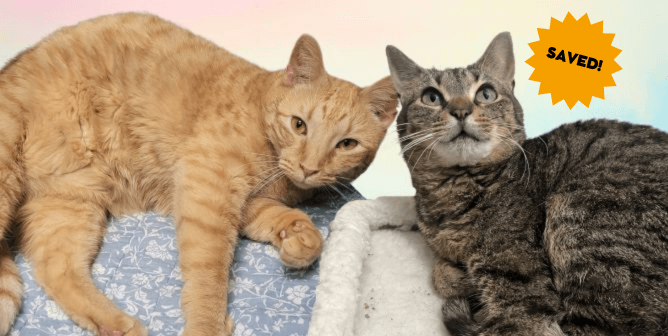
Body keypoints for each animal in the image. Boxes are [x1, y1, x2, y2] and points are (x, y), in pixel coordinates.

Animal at [0, 11, 396, 334]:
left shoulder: (234, 200)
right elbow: (210, 271)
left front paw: (300, 238)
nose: (310, 167)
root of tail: (14, 69)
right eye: (299, 125)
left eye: (346, 144)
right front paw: (207, 325)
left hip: (70, 204)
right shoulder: (205, 187)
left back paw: (115, 324)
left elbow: (281, 217)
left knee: (55, 268)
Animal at [384, 32, 668, 336]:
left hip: (578, 215)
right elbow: (440, 272)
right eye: (431, 97)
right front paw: (457, 277)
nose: (460, 111)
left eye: (486, 93)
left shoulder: (522, 299)